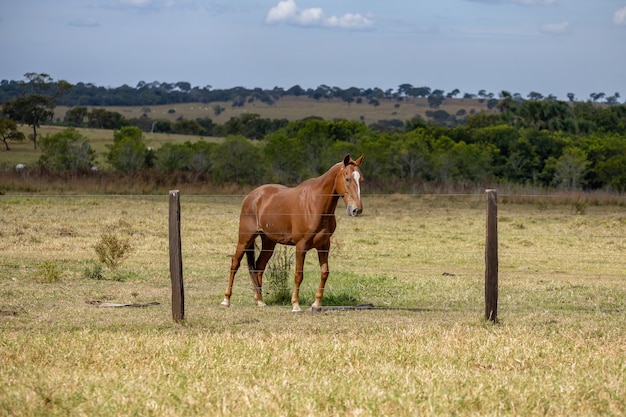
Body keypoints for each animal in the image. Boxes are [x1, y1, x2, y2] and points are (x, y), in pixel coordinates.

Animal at [222, 154, 364, 310]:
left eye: (361, 180)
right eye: (347, 179)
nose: (356, 210)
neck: (315, 204)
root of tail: (251, 196)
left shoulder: (324, 245)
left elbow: (324, 272)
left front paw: (316, 303)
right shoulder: (301, 246)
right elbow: (298, 275)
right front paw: (295, 305)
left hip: (269, 242)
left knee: (259, 266)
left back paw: (260, 300)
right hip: (245, 238)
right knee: (235, 263)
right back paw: (226, 299)